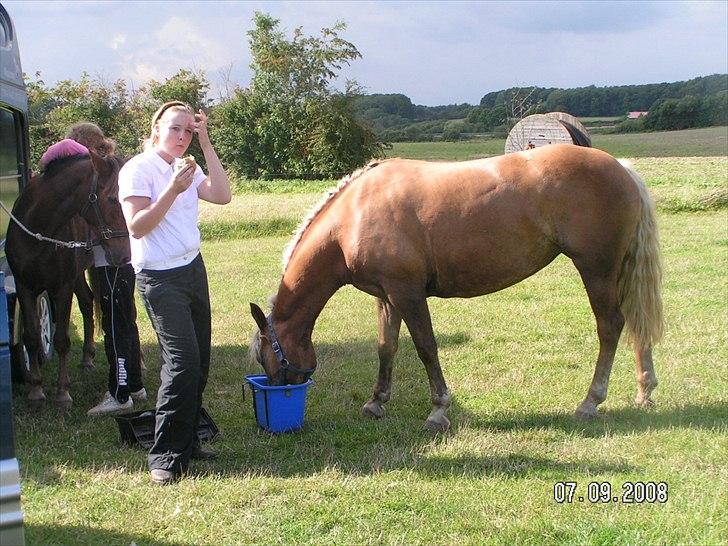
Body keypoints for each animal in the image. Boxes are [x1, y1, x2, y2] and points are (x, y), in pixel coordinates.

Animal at [6, 151, 129, 402]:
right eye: (113, 199)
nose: (124, 254)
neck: (38, 231)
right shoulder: (24, 286)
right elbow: (31, 336)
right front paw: (36, 389)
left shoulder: (61, 287)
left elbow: (62, 340)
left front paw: (62, 391)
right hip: (77, 276)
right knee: (87, 302)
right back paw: (87, 357)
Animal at [252, 143, 664, 430]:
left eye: (267, 357)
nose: (277, 393)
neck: (354, 216)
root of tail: (622, 168)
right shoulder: (387, 297)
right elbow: (386, 348)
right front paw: (377, 403)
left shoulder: (408, 294)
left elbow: (426, 348)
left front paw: (438, 410)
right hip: (616, 271)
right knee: (633, 322)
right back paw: (644, 392)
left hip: (596, 270)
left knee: (610, 327)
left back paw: (590, 402)